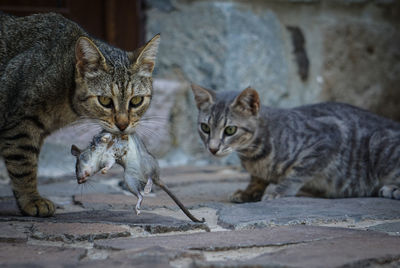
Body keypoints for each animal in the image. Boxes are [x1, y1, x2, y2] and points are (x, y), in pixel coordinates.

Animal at [0, 13, 159, 218]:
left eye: (137, 101)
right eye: (105, 101)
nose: (123, 124)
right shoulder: (21, 123)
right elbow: (24, 164)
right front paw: (32, 200)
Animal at [190, 85, 400, 202]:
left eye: (230, 130)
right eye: (205, 127)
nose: (213, 148)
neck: (253, 154)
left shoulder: (330, 135)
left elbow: (298, 171)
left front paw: (280, 190)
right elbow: (257, 179)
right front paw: (250, 191)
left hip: (379, 143)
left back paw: (392, 189)